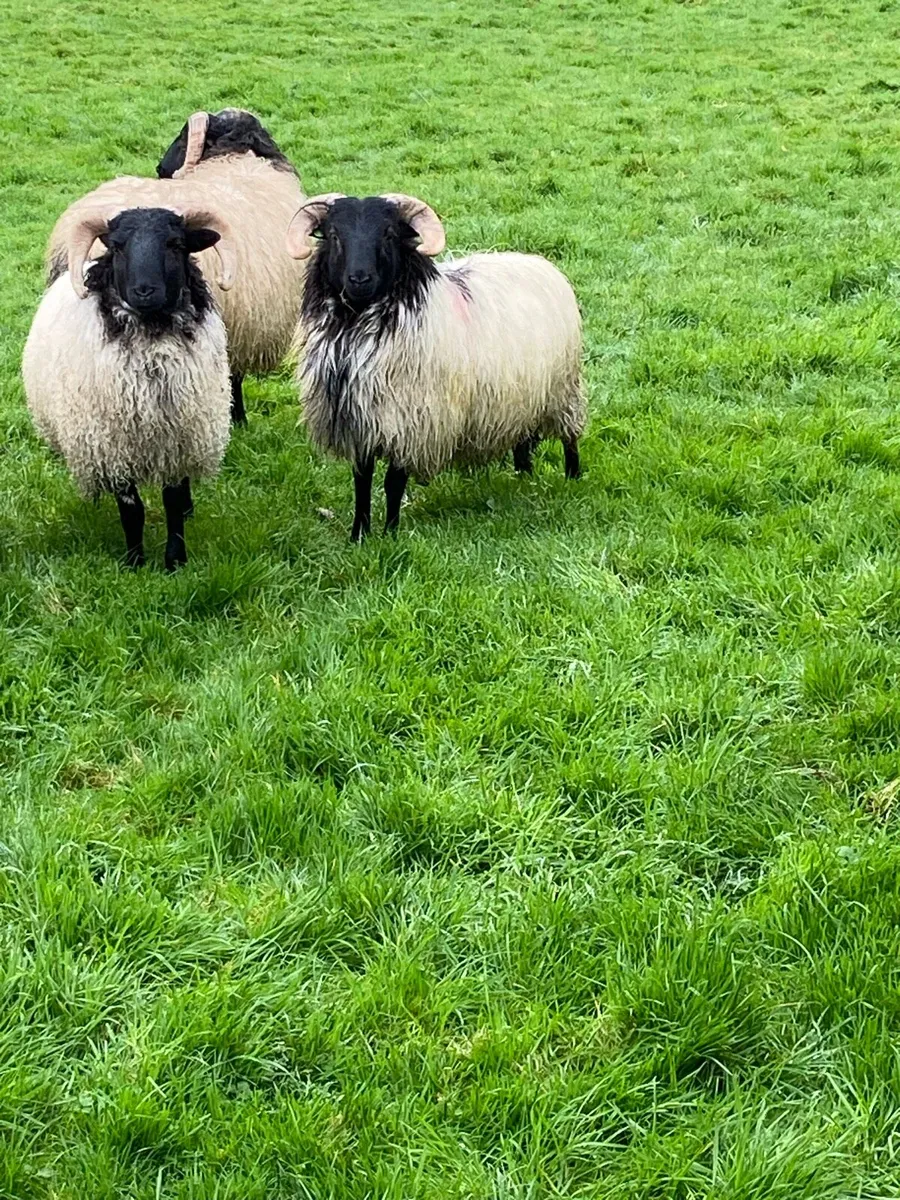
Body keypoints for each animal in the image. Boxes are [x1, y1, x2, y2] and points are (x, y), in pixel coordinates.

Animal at [24, 202, 234, 571]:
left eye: (175, 245)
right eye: (118, 247)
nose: (144, 291)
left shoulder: (177, 438)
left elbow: (172, 501)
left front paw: (175, 560)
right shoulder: (113, 445)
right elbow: (131, 509)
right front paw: (135, 561)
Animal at [286, 193, 586, 540]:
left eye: (389, 233)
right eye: (333, 234)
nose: (359, 279)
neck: (359, 324)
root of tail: (538, 262)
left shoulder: (411, 420)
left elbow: (393, 483)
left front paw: (391, 533)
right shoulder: (360, 421)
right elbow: (362, 482)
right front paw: (359, 535)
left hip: (563, 390)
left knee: (570, 438)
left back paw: (573, 477)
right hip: (520, 396)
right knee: (522, 441)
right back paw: (523, 477)